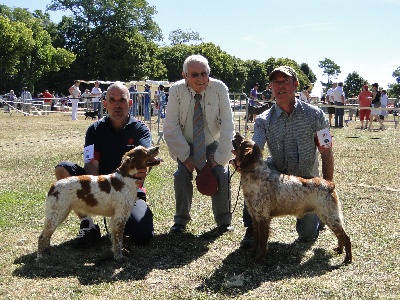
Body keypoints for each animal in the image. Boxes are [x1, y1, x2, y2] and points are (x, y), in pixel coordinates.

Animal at [230, 132, 352, 264]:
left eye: (242, 141)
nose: (236, 133)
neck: (255, 174)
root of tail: (330, 184)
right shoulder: (255, 216)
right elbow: (256, 239)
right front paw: (253, 252)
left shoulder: (263, 217)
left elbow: (262, 241)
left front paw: (259, 257)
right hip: (328, 217)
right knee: (340, 236)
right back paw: (339, 249)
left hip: (329, 216)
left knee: (346, 237)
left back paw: (347, 259)